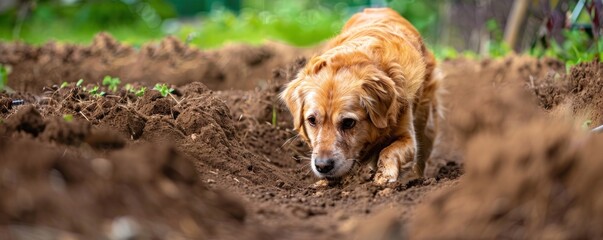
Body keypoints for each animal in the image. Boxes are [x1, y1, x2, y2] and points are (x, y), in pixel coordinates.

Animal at [280, 7, 442, 184]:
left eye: (348, 122)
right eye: (312, 120)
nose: (322, 166)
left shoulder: (408, 137)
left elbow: (389, 150)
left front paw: (384, 176)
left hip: (425, 122)